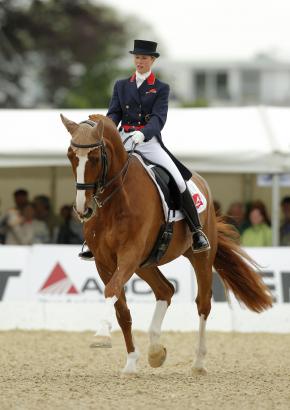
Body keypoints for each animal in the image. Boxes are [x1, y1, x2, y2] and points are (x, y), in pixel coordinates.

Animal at [60, 113, 272, 374]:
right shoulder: (105, 261)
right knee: (166, 290)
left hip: (199, 256)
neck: (116, 200)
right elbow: (121, 309)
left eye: (95, 157)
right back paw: (155, 351)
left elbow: (111, 290)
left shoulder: (129, 254)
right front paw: (131, 362)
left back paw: (198, 362)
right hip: (145, 264)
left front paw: (100, 335)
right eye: (70, 155)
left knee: (203, 303)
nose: (83, 209)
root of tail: (200, 181)